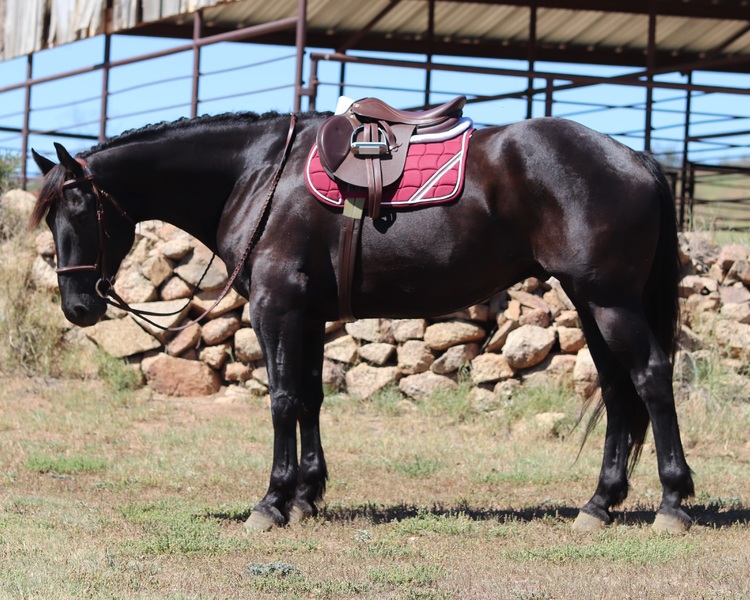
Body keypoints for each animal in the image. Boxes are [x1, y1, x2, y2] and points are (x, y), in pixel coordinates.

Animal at [32, 110, 696, 532]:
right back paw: (600, 503)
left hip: (610, 301)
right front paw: (306, 495)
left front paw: (271, 503)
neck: (259, 175)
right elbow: (309, 398)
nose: (79, 307)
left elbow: (281, 400)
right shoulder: (305, 315)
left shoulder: (276, 306)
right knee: (618, 392)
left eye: (78, 207)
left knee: (651, 380)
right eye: (52, 214)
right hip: (591, 302)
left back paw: (672, 503)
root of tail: (634, 157)